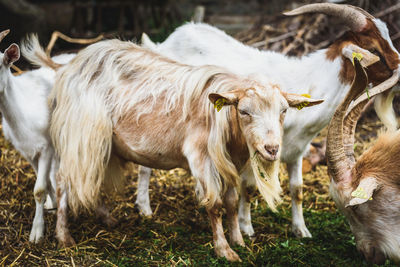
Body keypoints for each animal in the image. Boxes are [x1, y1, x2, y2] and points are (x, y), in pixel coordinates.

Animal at [0, 30, 74, 244]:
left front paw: (36, 232)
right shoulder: (26, 150)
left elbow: (39, 189)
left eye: (0, 64)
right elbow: (45, 183)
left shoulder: (46, 146)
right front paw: (52, 203)